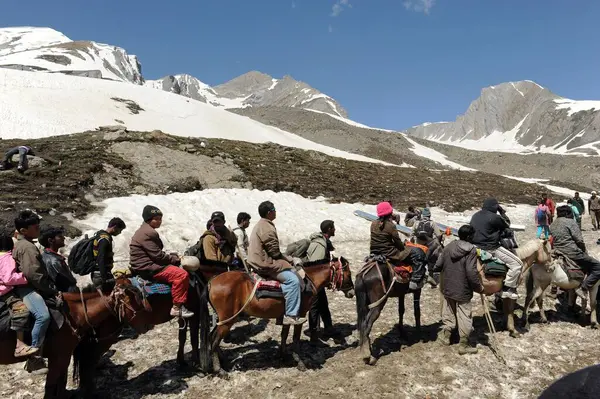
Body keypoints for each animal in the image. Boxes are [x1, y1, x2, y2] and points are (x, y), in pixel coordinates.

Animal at [0, 282, 149, 399]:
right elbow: (52, 386)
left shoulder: (64, 357)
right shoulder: (59, 357)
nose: (148, 325)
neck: (74, 313)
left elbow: (61, 382)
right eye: (136, 303)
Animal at [205, 260, 354, 376]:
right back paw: (219, 370)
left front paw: (283, 356)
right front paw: (300, 362)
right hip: (228, 320)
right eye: (348, 274)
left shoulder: (287, 316)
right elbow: (295, 339)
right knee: (214, 340)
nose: (352, 292)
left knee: (212, 337)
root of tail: (212, 281)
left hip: (222, 320)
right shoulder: (298, 316)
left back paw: (223, 362)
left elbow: (284, 335)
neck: (309, 281)